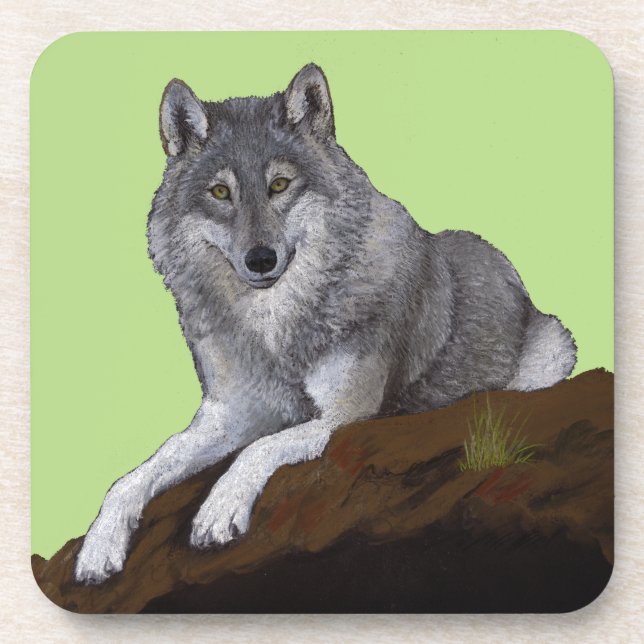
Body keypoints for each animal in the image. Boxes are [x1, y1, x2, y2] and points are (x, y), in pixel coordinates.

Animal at [74, 63, 576, 584]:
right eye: (220, 192)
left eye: (279, 185)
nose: (260, 259)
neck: (276, 330)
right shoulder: (230, 414)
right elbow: (140, 472)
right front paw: (99, 546)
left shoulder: (345, 416)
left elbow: (260, 448)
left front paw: (218, 510)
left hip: (552, 352)